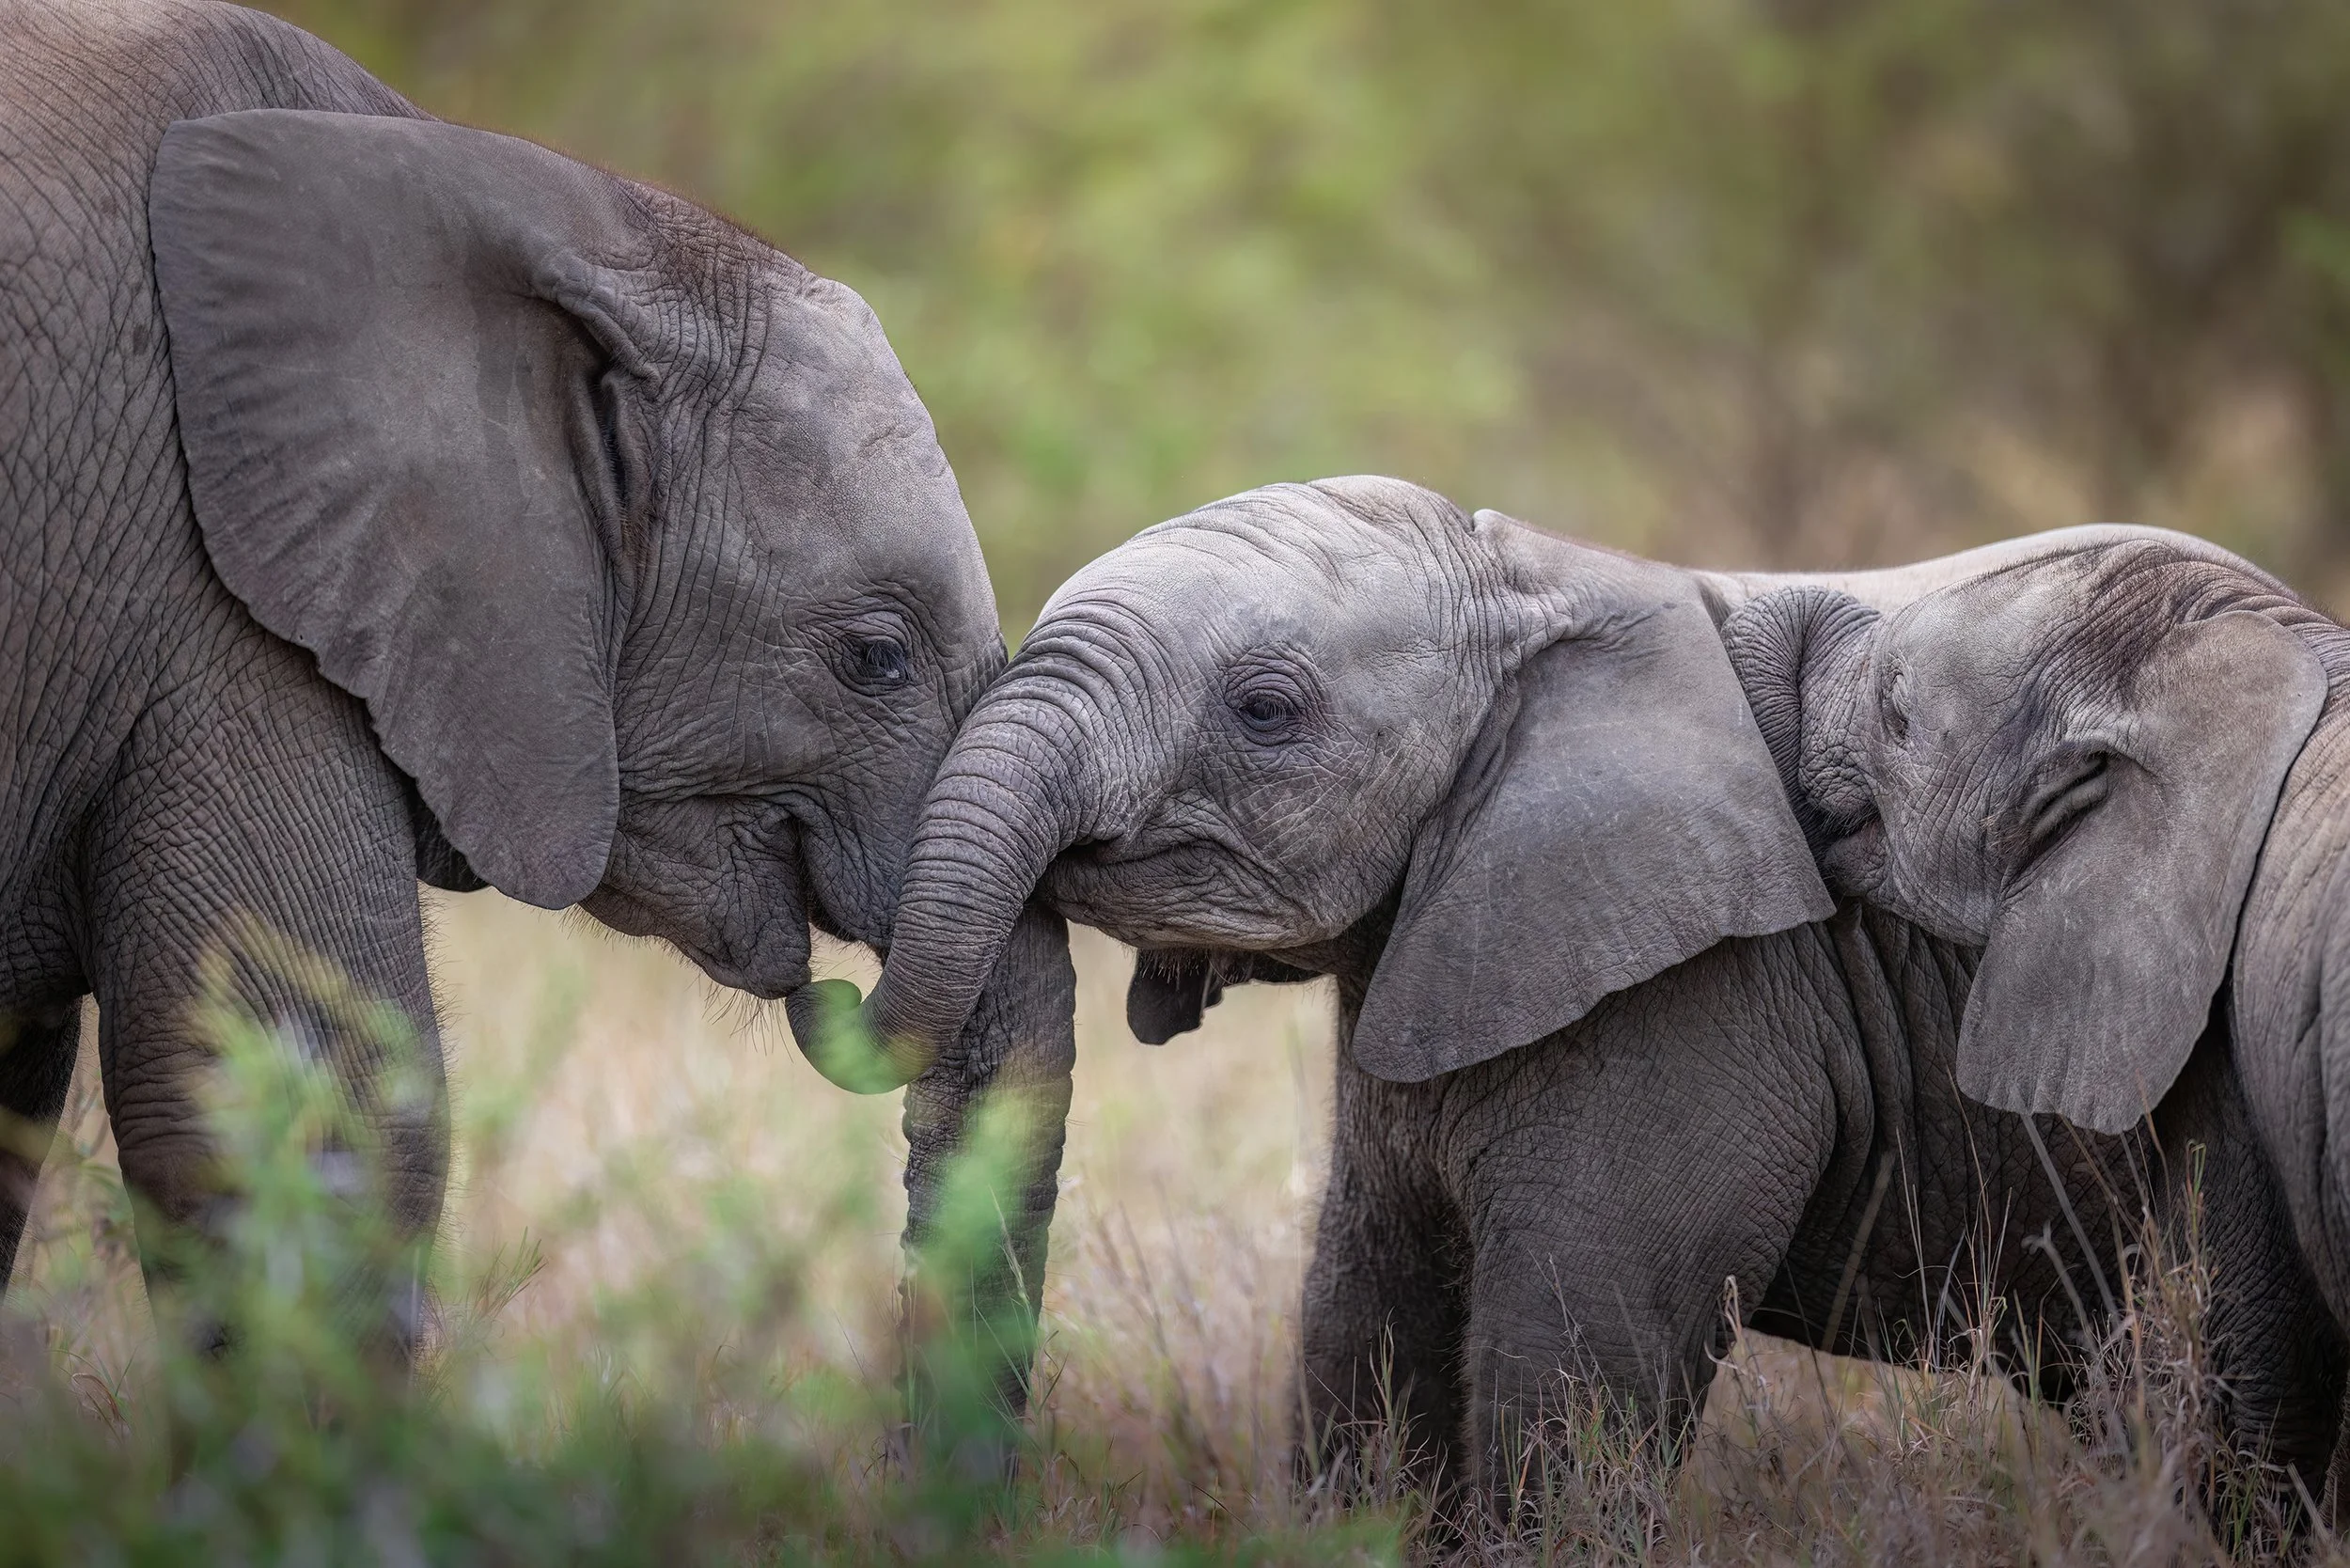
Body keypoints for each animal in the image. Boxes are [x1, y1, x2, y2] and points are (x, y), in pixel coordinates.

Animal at [797, 475, 2341, 1503]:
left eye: (1266, 712)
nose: (814, 982)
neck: (1539, 578)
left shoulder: (1696, 996)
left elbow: (1578, 1378)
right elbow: (1363, 1340)